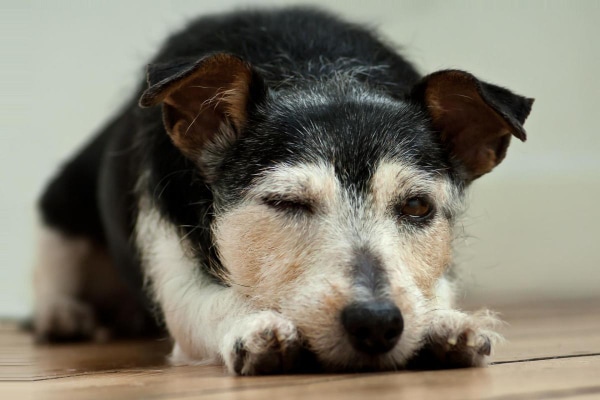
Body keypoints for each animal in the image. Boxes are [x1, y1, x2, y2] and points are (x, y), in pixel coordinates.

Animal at [34, 7, 536, 376]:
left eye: (416, 206)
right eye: (286, 202)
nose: (376, 324)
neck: (317, 72)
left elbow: (434, 289)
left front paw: (445, 323)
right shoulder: (169, 259)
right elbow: (204, 301)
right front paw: (256, 328)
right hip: (61, 206)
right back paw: (63, 316)